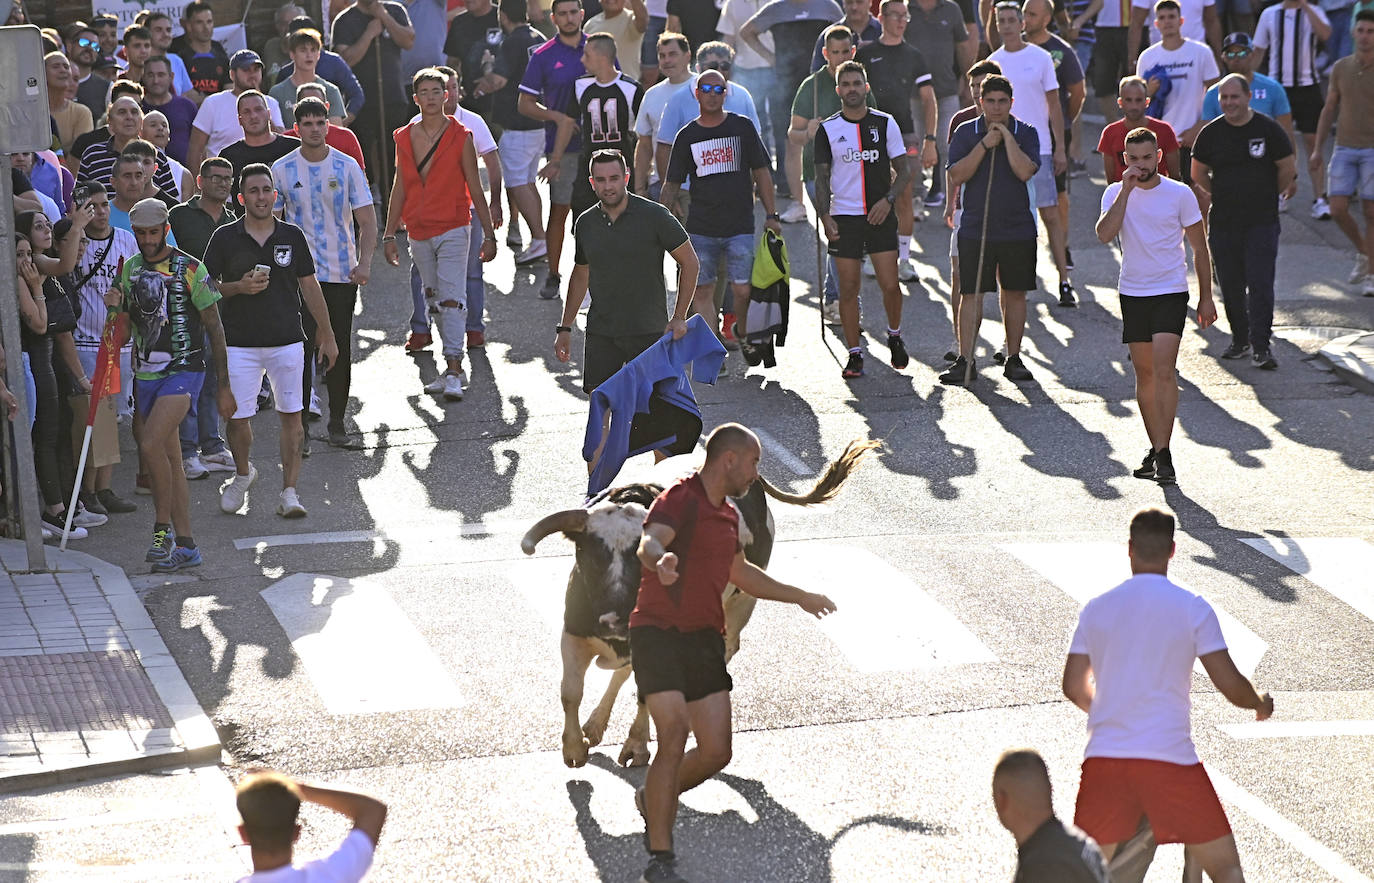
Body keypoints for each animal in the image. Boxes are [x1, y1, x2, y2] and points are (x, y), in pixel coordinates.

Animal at [519, 439, 873, 769]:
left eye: (645, 557)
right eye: (589, 554)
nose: (614, 619)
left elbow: (644, 693)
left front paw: (636, 745)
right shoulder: (574, 634)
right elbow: (570, 692)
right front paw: (574, 747)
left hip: (741, 603)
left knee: (727, 647)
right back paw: (595, 725)